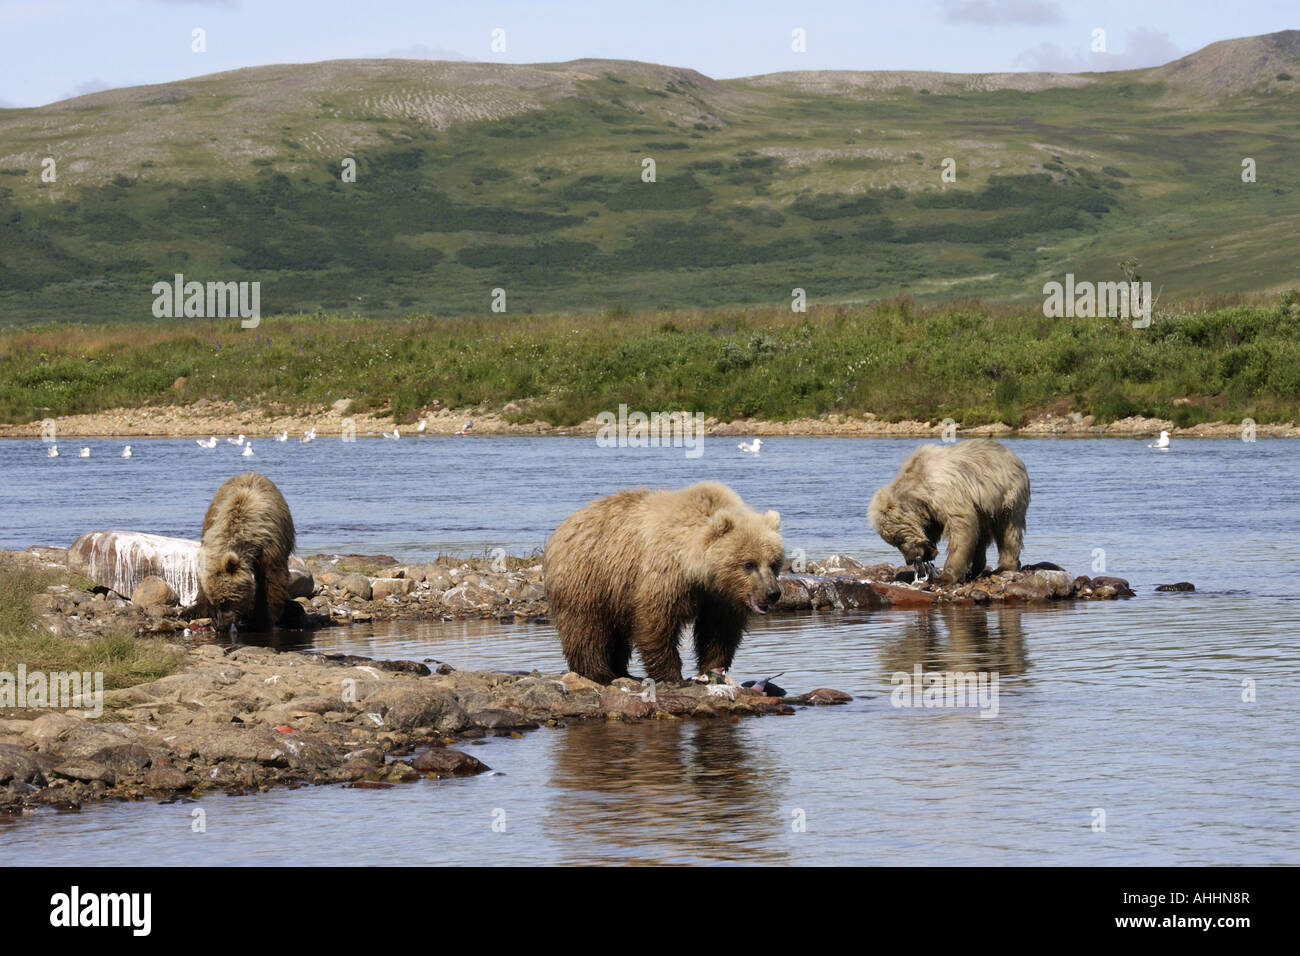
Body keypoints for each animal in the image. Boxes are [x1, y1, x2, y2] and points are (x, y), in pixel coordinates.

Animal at [196, 473, 296, 634]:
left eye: (226, 602)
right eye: (215, 602)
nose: (220, 626)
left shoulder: (270, 550)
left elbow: (271, 583)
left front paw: (262, 621)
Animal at [546, 481, 785, 686]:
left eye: (773, 563)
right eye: (749, 564)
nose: (772, 592)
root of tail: (563, 526)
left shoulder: (719, 597)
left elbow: (718, 632)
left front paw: (713, 670)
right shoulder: (664, 578)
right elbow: (656, 625)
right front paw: (672, 676)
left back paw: (621, 671)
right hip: (588, 578)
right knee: (586, 628)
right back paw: (599, 673)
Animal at [868, 439, 1029, 582]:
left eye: (898, 540)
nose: (909, 560)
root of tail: (1014, 457)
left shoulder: (946, 493)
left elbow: (961, 528)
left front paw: (945, 576)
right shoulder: (930, 511)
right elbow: (934, 529)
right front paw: (930, 552)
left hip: (1007, 495)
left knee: (1007, 529)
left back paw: (1004, 566)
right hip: (985, 507)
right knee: (982, 535)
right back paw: (974, 570)